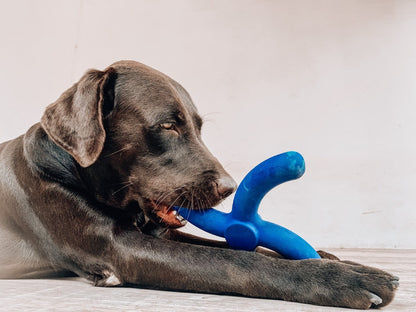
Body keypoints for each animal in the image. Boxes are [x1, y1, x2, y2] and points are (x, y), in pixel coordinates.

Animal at [0, 59, 398, 308]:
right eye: (167, 125)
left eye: (199, 127)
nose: (229, 187)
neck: (74, 169)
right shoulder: (121, 249)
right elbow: (236, 262)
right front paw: (341, 278)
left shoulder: (163, 234)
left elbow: (245, 248)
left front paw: (328, 257)